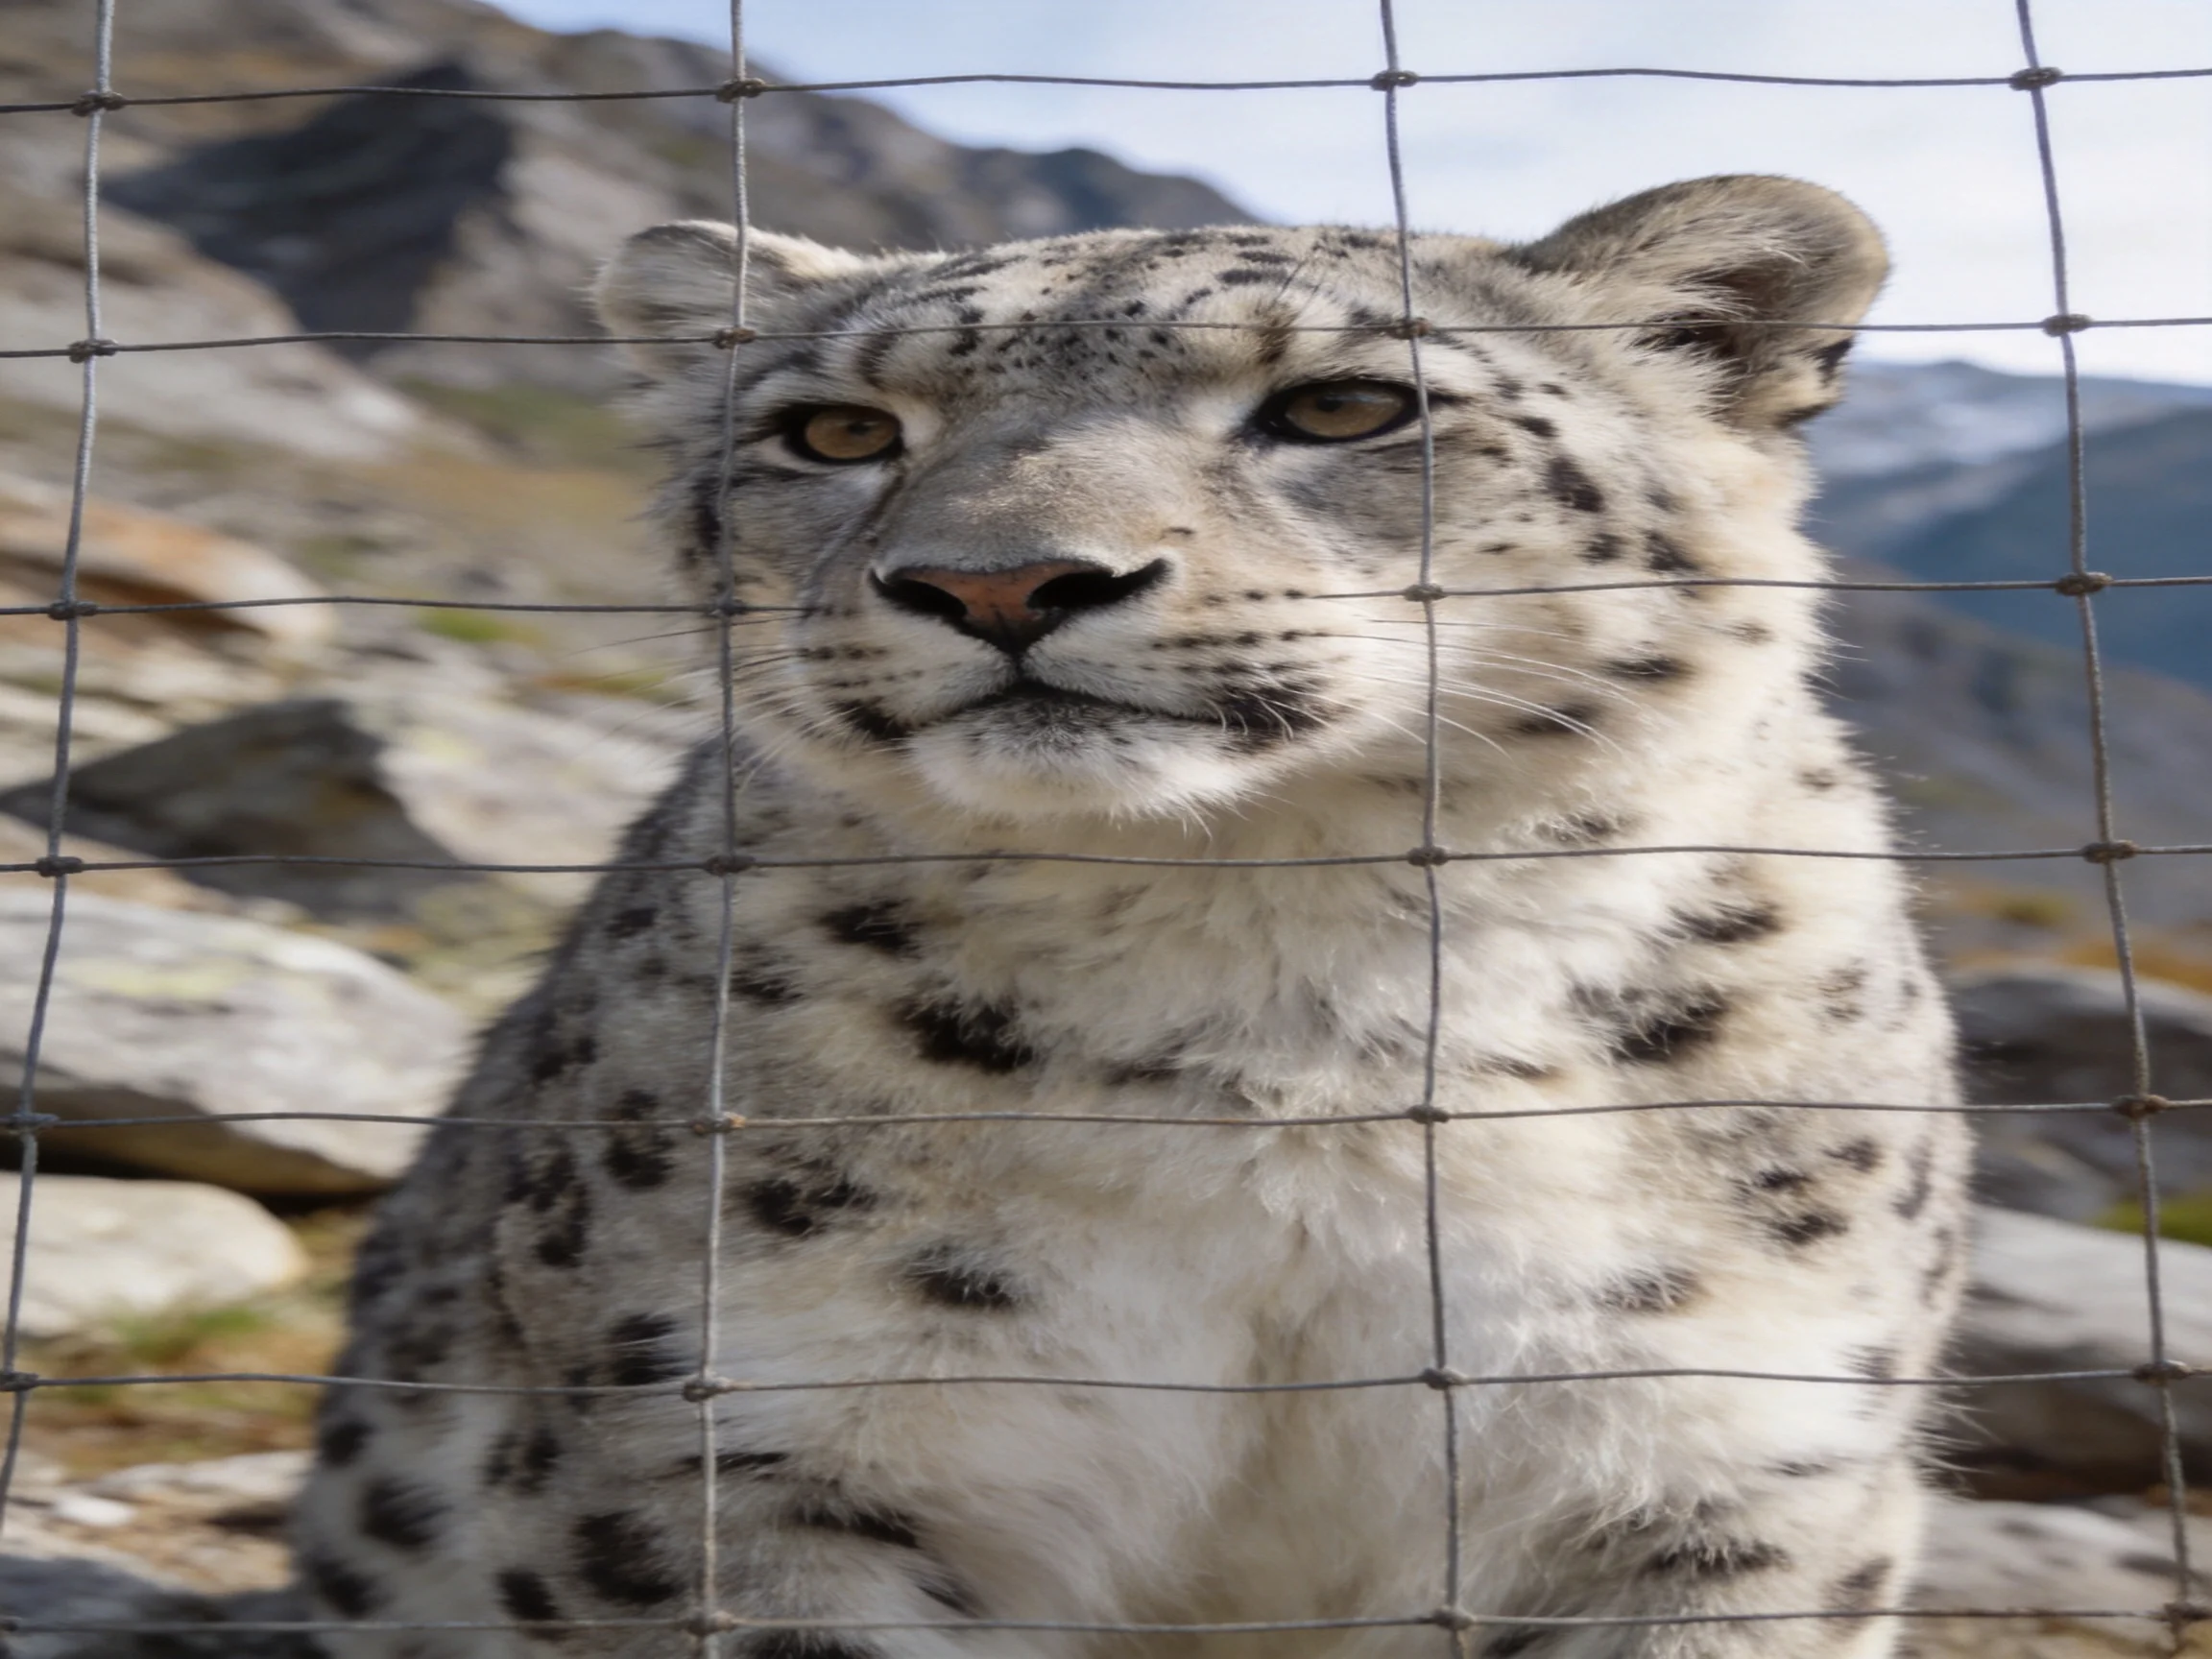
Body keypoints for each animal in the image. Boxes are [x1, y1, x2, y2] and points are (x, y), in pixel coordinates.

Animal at [288, 175, 1971, 1659]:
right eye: (838, 430)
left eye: (1343, 406)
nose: (1001, 582)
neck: (1284, 962)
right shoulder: (740, 1440)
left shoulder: (1726, 1461)